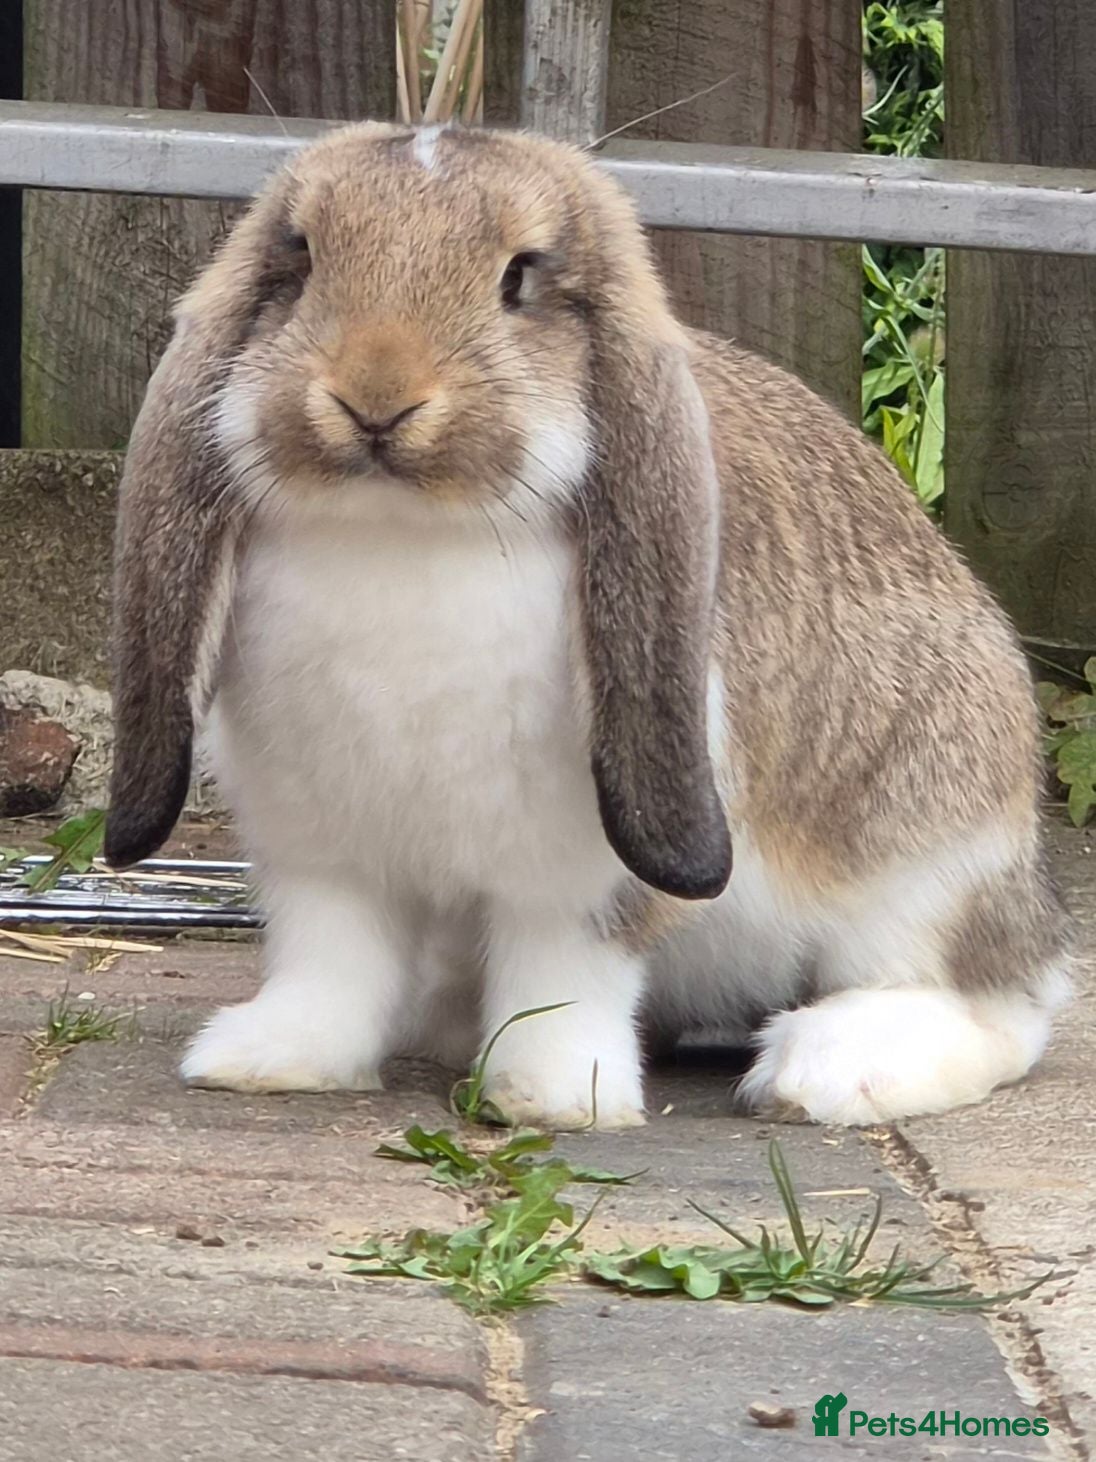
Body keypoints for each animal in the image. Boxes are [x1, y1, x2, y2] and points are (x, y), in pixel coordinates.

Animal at [105, 121, 1071, 1129]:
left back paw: (829, 1071)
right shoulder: (322, 854)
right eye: (300, 259)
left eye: (519, 276)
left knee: (1000, 1004)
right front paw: (270, 1061)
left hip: (929, 858)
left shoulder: (583, 866)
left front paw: (551, 1096)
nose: (376, 395)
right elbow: (332, 962)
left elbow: (561, 969)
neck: (400, 531)